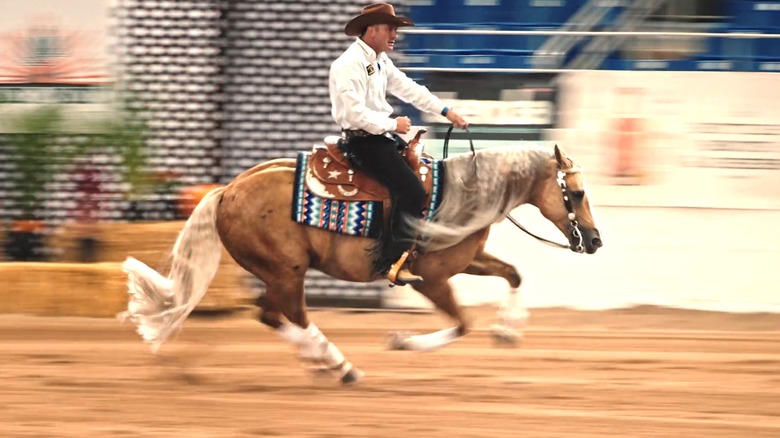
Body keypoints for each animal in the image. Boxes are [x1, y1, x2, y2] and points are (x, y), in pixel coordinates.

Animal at [120, 140, 604, 384]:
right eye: (577, 193)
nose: (596, 241)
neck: (462, 192)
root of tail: (226, 192)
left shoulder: (464, 261)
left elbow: (513, 274)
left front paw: (507, 330)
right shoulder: (431, 278)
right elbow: (462, 324)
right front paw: (403, 342)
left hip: (279, 274)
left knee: (271, 315)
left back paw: (321, 362)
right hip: (287, 271)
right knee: (291, 314)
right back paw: (340, 365)